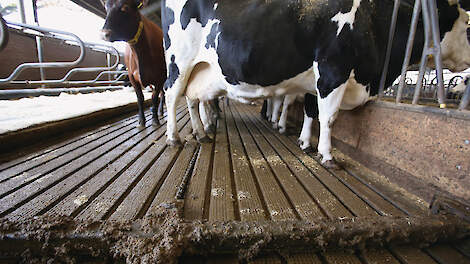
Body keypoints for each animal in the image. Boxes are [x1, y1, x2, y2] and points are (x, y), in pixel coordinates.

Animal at [162, 0, 470, 168]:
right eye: (468, 24)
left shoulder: (315, 82)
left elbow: (312, 111)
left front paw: (304, 142)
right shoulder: (333, 71)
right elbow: (329, 116)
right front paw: (327, 154)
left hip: (199, 71)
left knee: (191, 99)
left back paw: (201, 133)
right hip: (180, 61)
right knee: (171, 94)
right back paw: (174, 137)